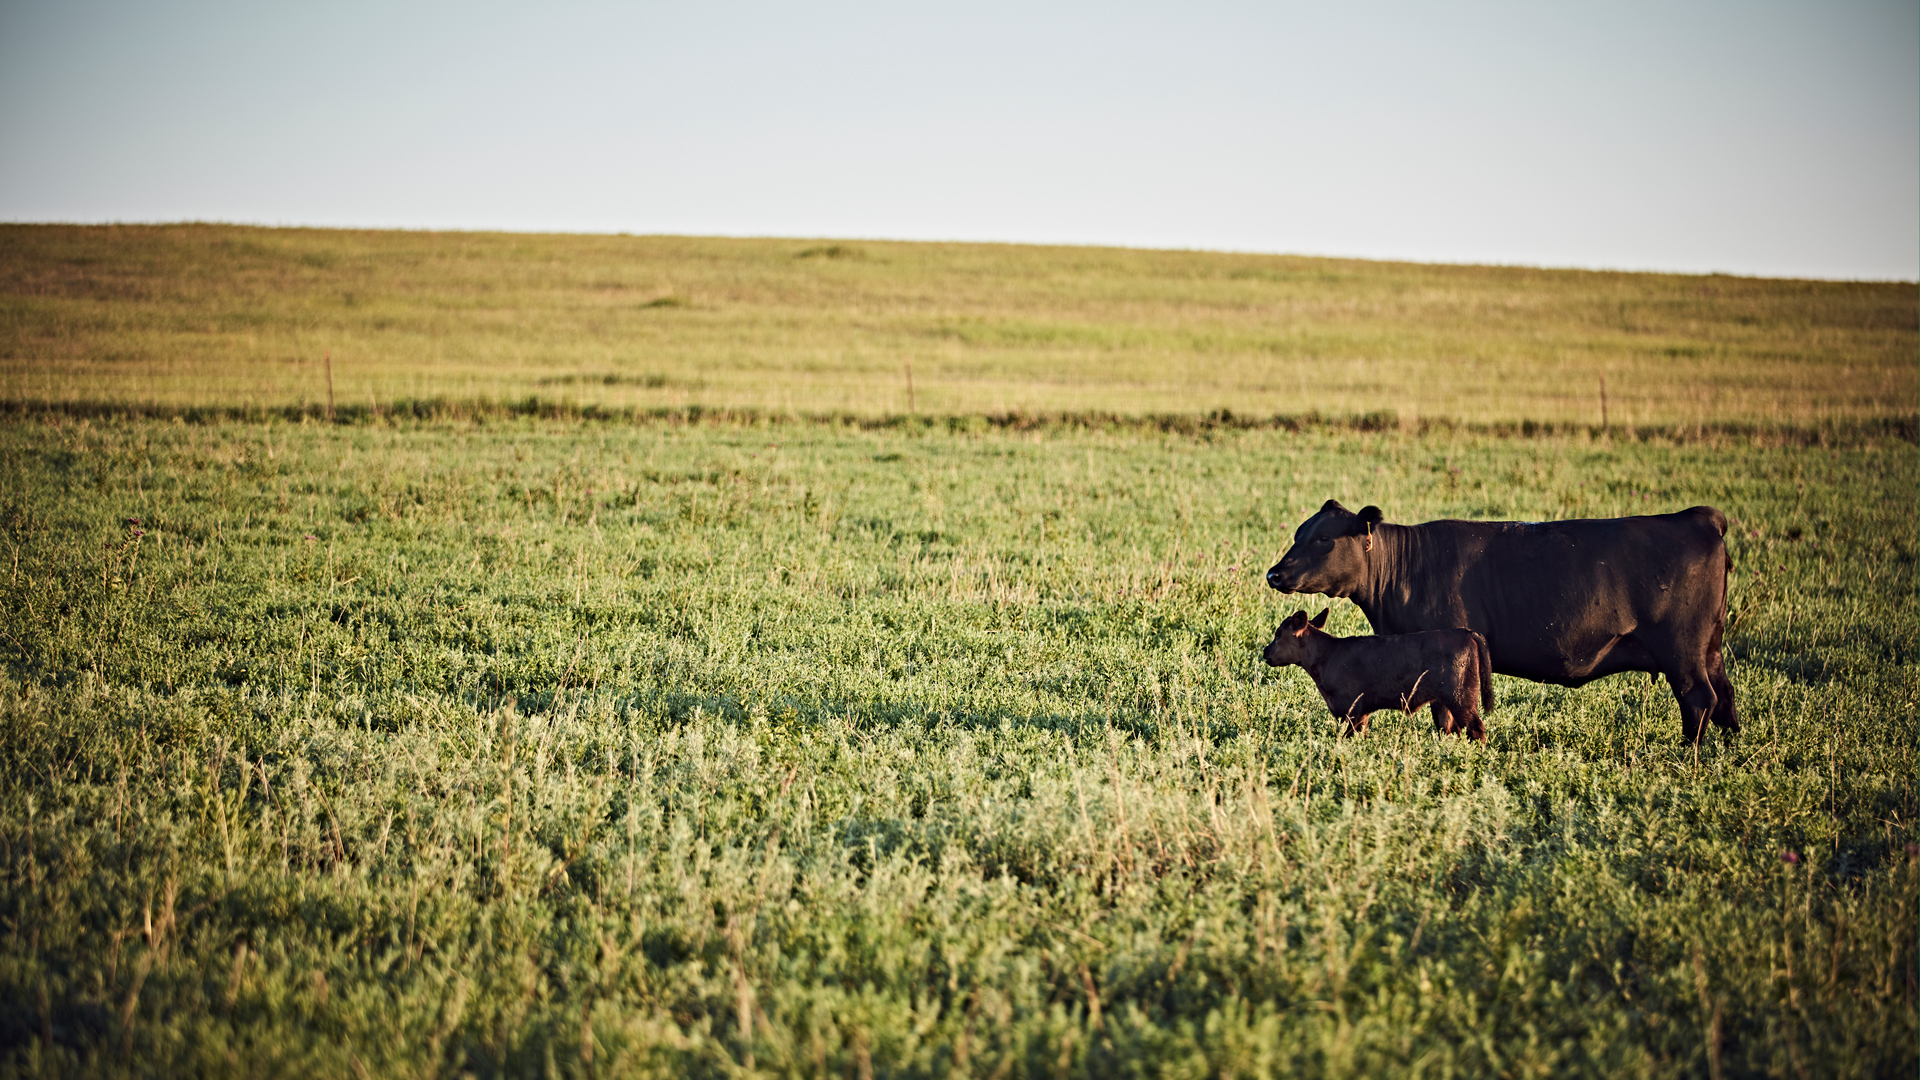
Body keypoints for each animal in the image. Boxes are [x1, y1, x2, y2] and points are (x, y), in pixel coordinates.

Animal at [1263, 609, 1495, 740]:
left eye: (1278, 634)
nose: (1265, 651)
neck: (1327, 655)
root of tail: (1464, 632)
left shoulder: (1351, 709)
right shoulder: (1361, 713)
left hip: (1460, 699)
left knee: (1476, 729)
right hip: (1446, 703)